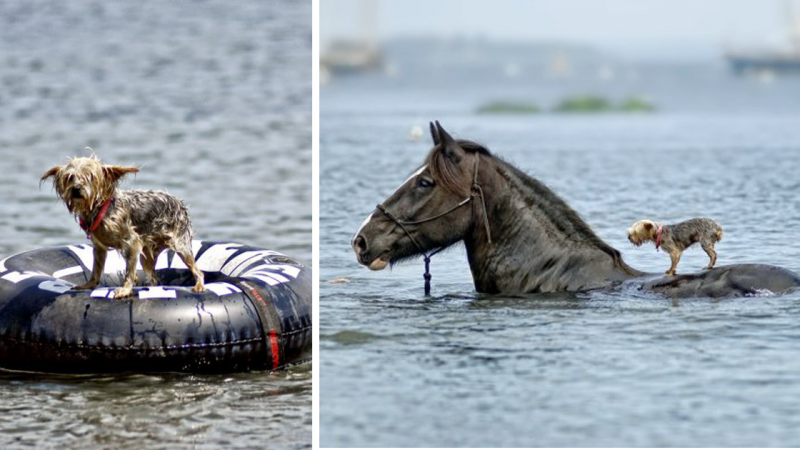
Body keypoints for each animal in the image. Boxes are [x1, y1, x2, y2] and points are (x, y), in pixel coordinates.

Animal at [41, 156, 205, 298]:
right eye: (69, 177)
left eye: (91, 177)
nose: (76, 189)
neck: (100, 210)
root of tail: (180, 203)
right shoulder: (99, 248)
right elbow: (96, 270)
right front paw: (88, 285)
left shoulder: (132, 242)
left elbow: (129, 271)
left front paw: (125, 289)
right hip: (147, 255)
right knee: (153, 276)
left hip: (180, 243)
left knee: (197, 270)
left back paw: (199, 286)